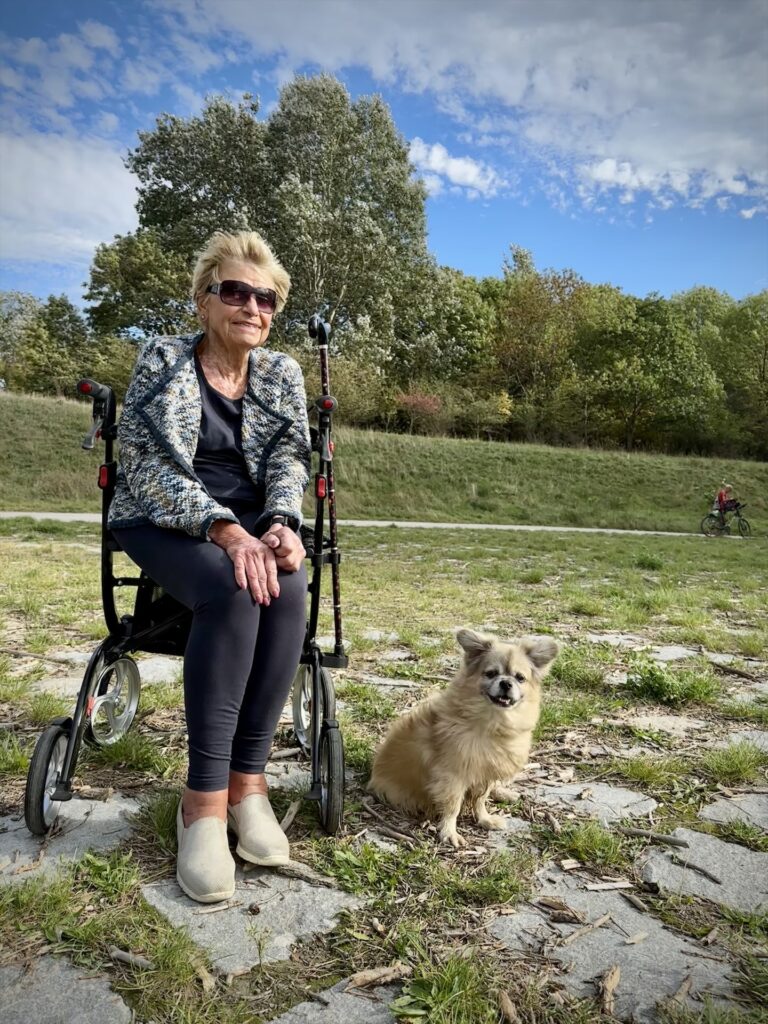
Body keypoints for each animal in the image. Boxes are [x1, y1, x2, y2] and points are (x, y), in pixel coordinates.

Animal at [368, 630, 561, 847]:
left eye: (520, 678)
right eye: (491, 673)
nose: (506, 682)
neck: (493, 723)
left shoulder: (484, 772)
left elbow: (480, 800)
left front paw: (485, 819)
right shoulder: (453, 777)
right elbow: (453, 806)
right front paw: (449, 832)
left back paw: (505, 793)